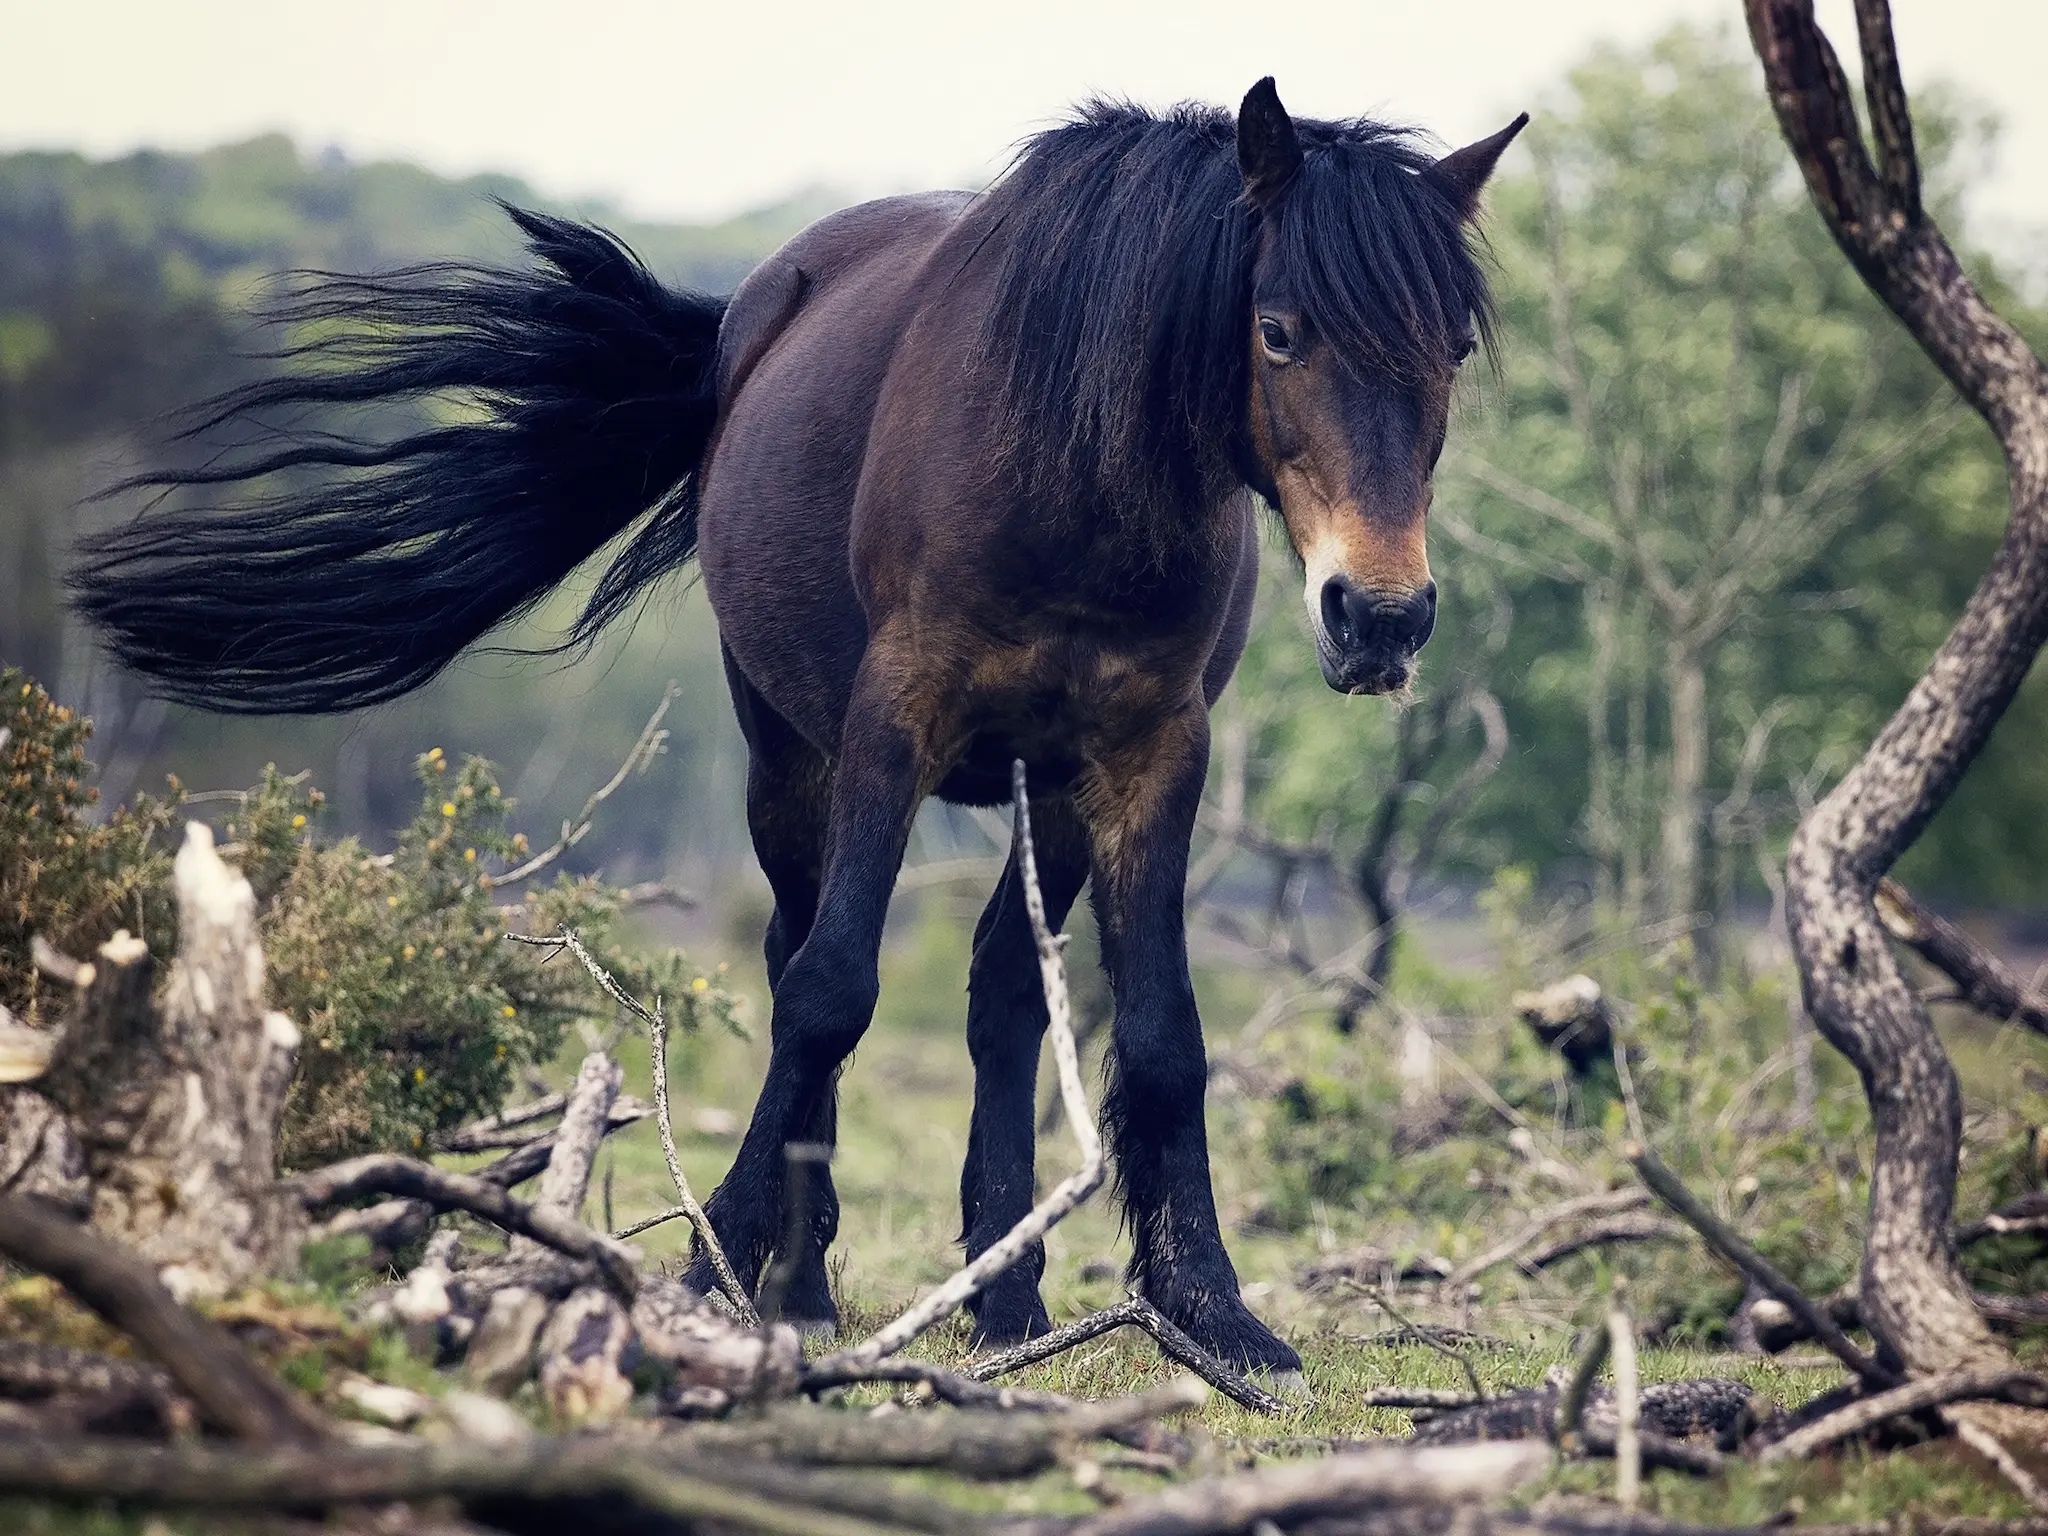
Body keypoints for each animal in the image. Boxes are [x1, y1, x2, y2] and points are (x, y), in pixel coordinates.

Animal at [72, 81, 1523, 1384]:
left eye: (1451, 350)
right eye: (1277, 331)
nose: (1379, 617)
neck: (1071, 476)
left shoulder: (1148, 752)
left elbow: (1162, 1031)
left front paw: (1213, 1311)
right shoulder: (892, 728)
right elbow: (830, 991)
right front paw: (714, 1264)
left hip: (1039, 787)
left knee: (1002, 991)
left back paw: (1005, 1296)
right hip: (790, 754)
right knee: (795, 956)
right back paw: (804, 1283)